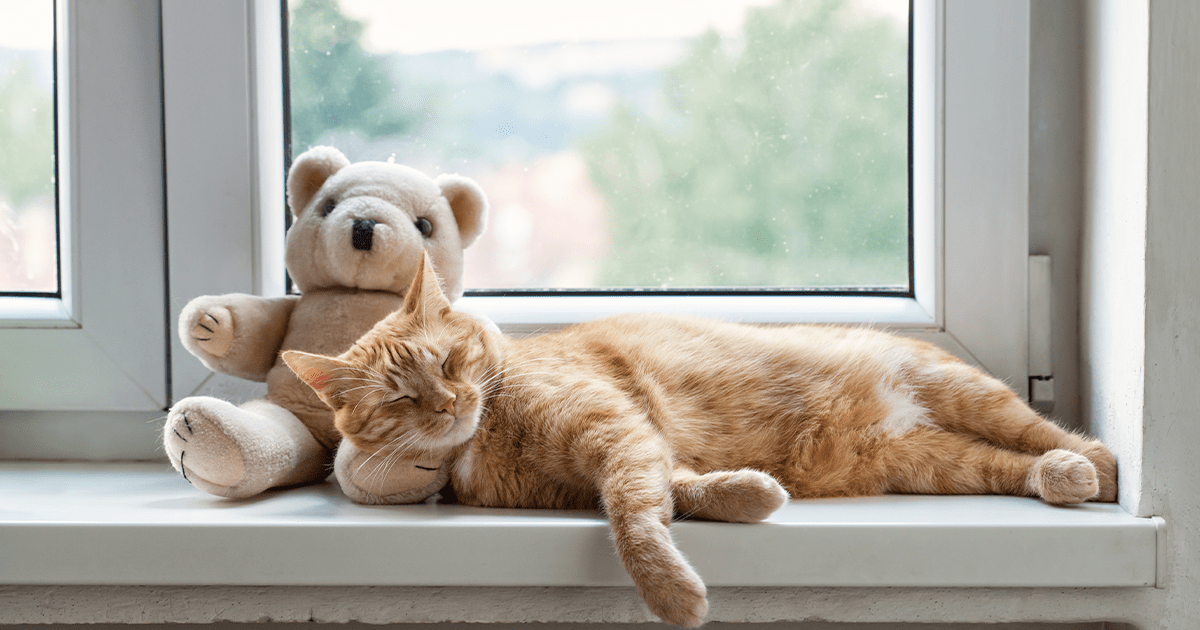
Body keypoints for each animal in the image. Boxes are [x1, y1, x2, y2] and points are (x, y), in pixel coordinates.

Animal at [280, 254, 1113, 624]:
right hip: (930, 463)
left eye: (451, 362)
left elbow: (633, 522)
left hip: (962, 392)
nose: (449, 402)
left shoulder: (617, 436)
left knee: (1040, 429)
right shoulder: (628, 459)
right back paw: (1061, 476)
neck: (486, 433)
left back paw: (1096, 462)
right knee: (1009, 465)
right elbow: (677, 495)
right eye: (403, 398)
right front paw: (749, 494)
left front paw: (671, 594)